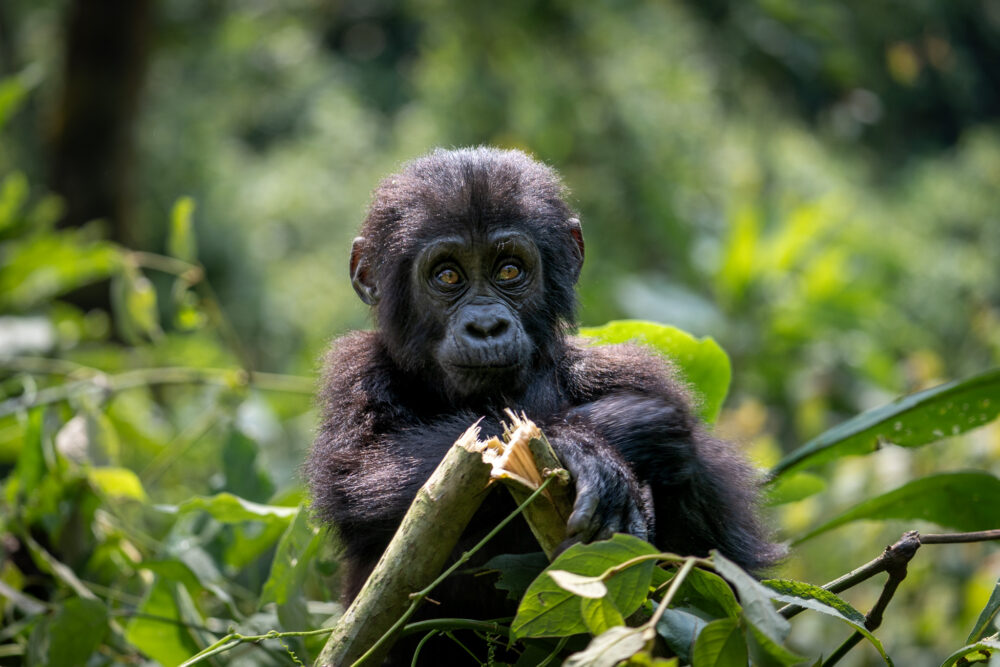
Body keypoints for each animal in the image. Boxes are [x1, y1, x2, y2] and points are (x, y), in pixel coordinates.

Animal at [308, 146, 776, 664]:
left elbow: (727, 572)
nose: (486, 326)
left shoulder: (632, 370)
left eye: (509, 270)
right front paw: (590, 441)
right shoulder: (354, 373)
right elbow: (361, 474)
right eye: (447, 275)